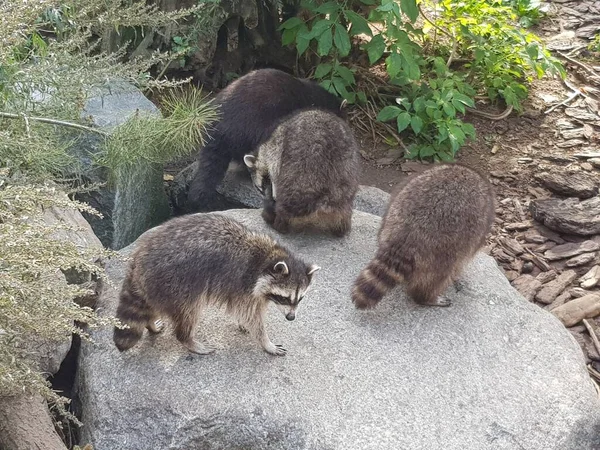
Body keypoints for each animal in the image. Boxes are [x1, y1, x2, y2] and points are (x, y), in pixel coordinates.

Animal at [112, 213, 318, 356]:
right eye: (284, 298)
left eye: (300, 298)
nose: (291, 317)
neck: (267, 258)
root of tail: (138, 260)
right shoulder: (243, 283)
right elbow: (251, 315)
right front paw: (266, 342)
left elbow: (245, 311)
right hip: (177, 283)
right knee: (189, 312)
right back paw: (187, 339)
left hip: (159, 287)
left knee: (151, 305)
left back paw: (151, 324)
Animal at [241, 107, 358, 237]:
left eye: (259, 188)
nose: (263, 194)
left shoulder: (275, 149)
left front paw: (273, 195)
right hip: (346, 175)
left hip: (300, 172)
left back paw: (276, 220)